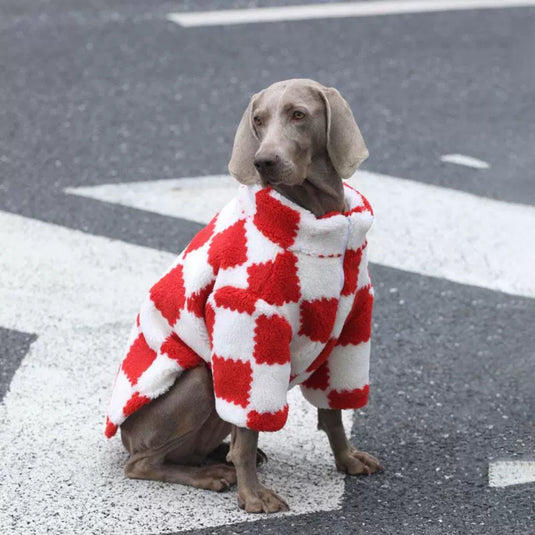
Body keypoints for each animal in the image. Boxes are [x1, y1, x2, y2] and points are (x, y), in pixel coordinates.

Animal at [104, 77, 382, 512]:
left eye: (298, 114)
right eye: (258, 120)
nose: (263, 161)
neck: (318, 221)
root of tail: (123, 436)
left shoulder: (349, 329)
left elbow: (334, 412)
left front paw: (347, 459)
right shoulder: (248, 328)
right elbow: (248, 436)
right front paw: (253, 496)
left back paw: (216, 459)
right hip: (200, 380)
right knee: (144, 463)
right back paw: (211, 475)